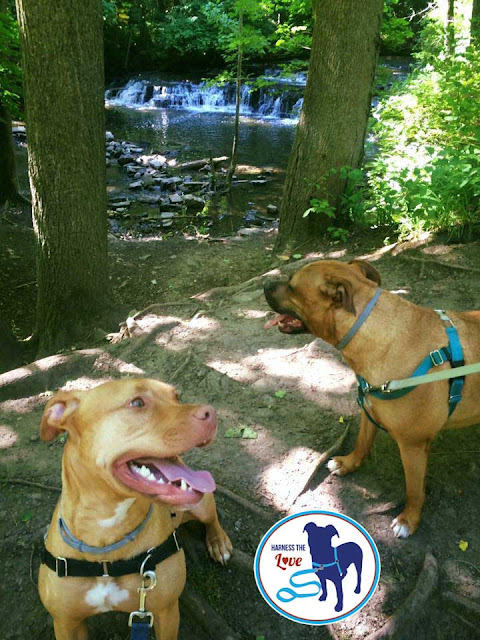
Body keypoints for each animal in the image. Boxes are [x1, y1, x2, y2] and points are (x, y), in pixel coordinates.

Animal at [38, 378, 232, 636]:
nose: (211, 413)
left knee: (212, 518)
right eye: (138, 403)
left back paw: (219, 542)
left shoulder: (166, 613)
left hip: (202, 505)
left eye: (176, 396)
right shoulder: (66, 623)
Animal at [264, 258, 480, 536]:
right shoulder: (369, 408)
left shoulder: (413, 446)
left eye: (291, 286)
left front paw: (409, 520)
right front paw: (348, 464)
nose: (265, 284)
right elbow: (362, 443)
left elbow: (414, 489)